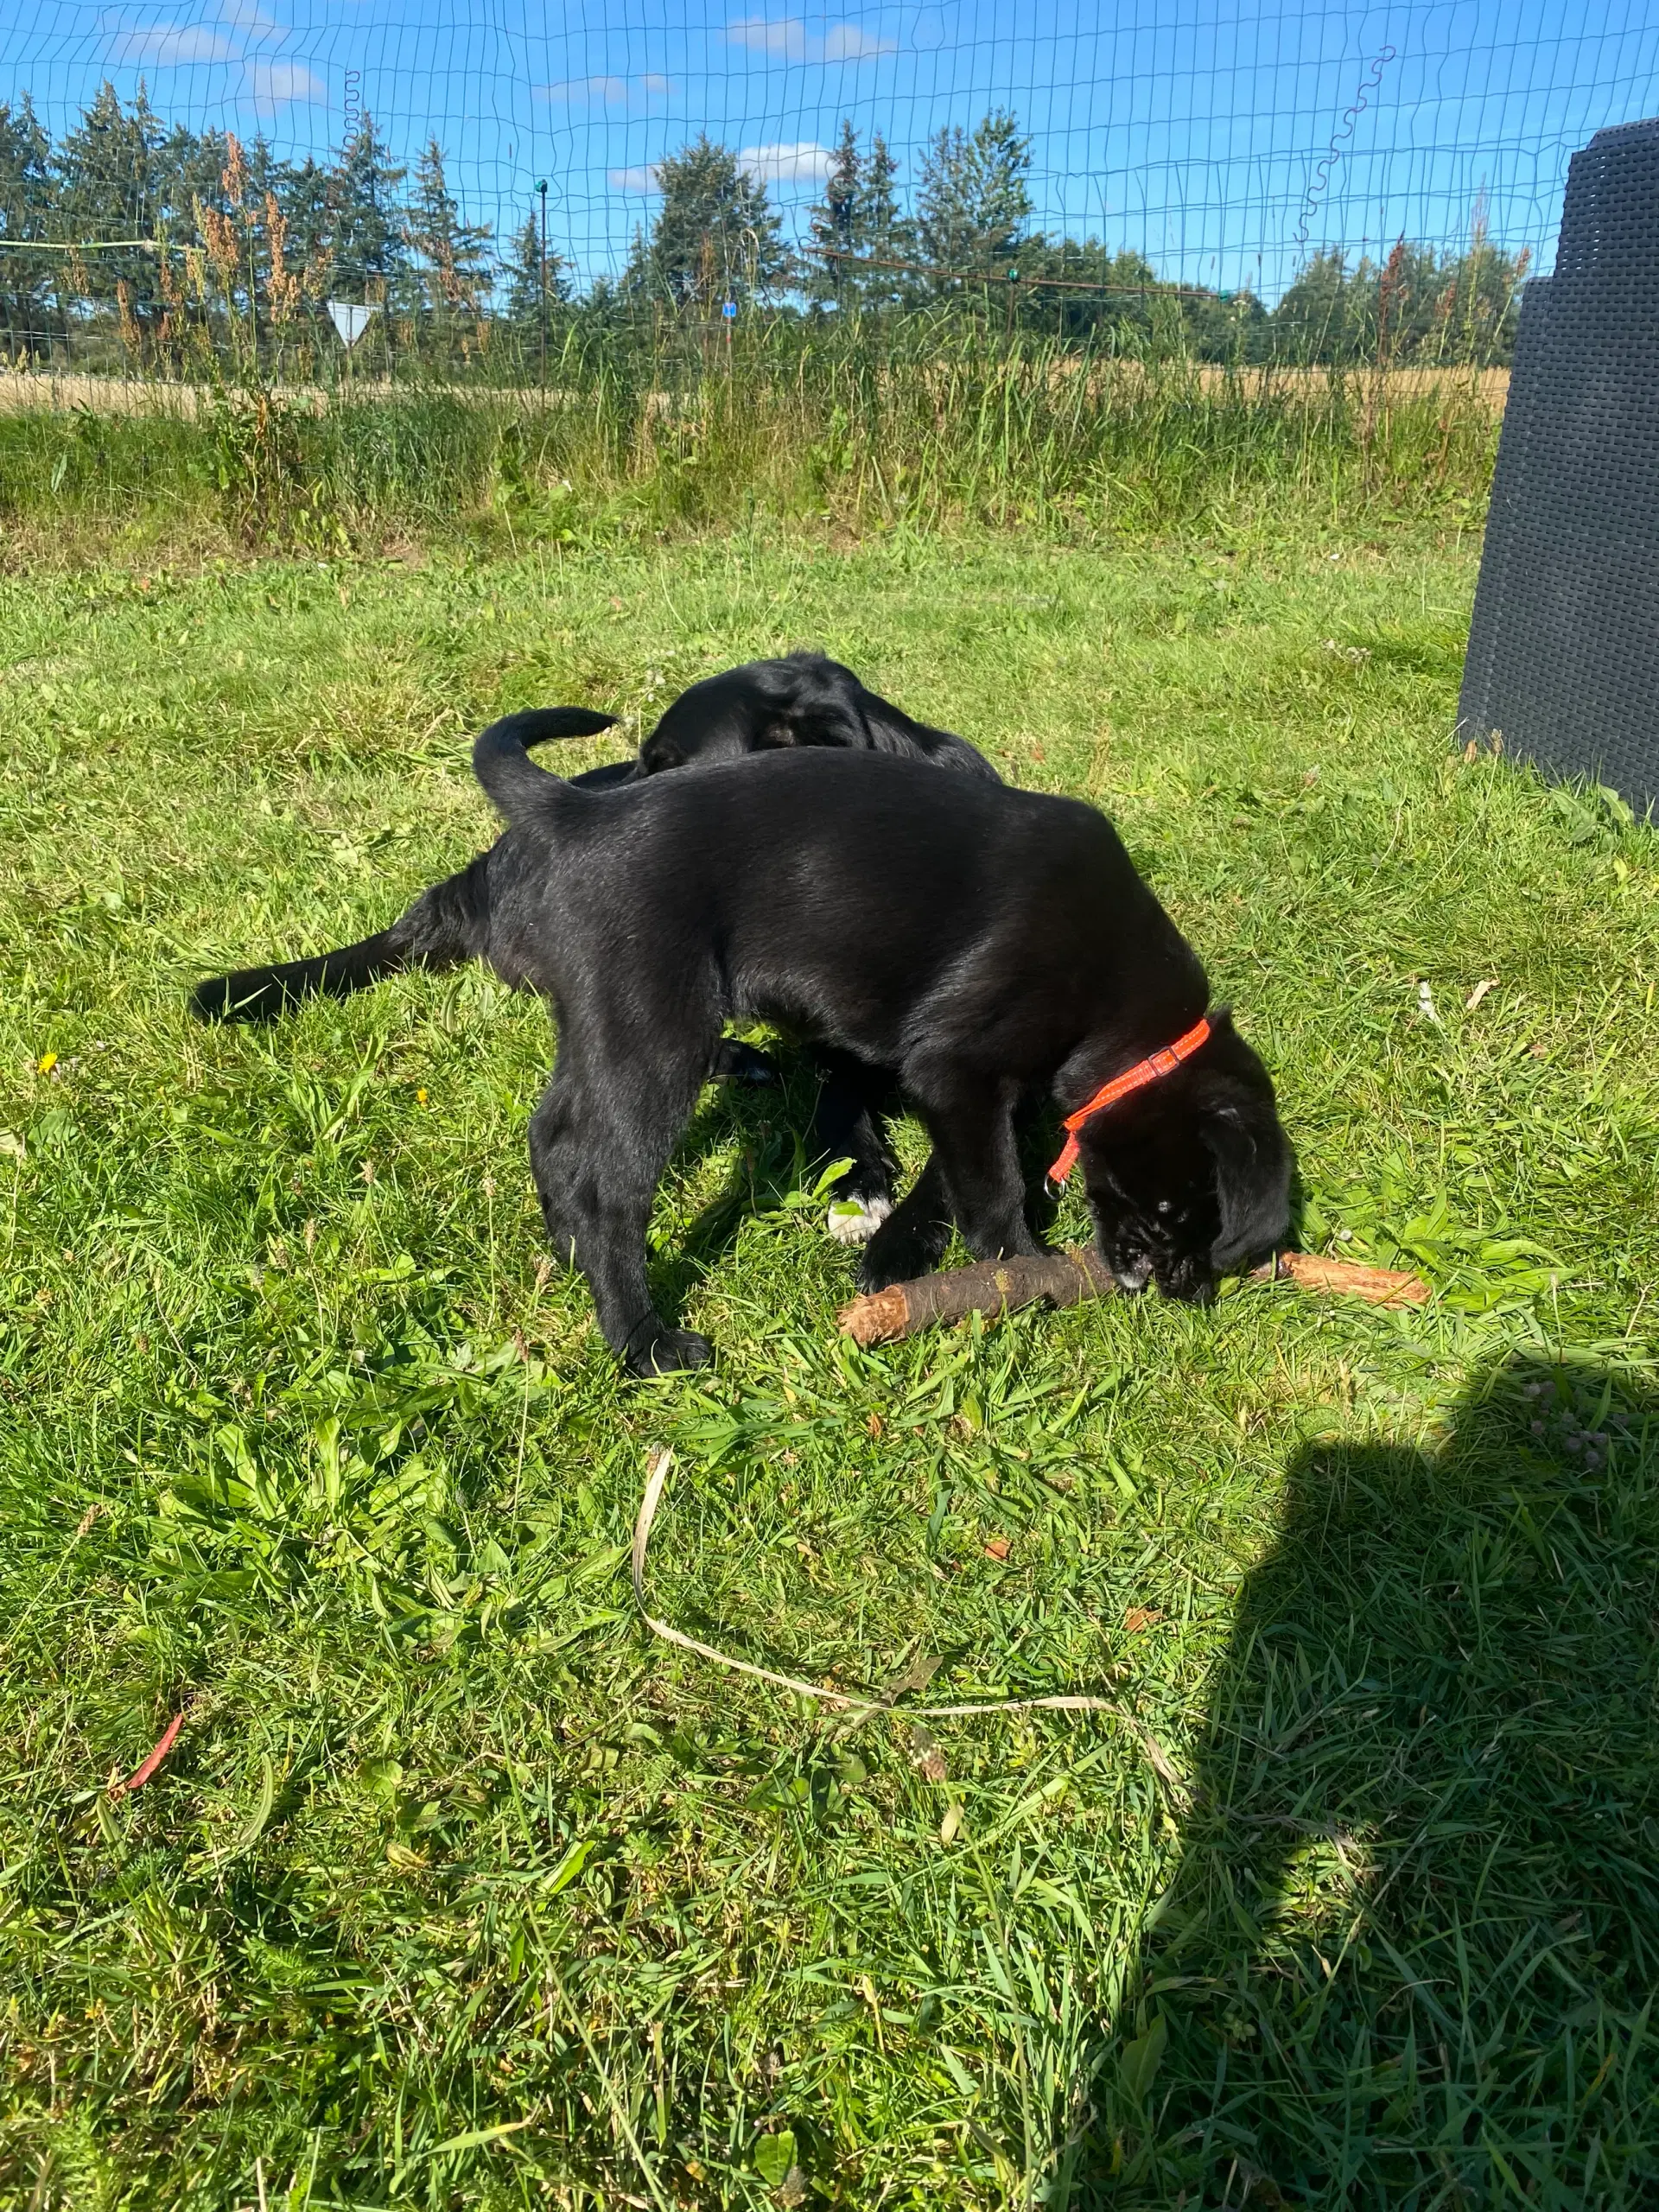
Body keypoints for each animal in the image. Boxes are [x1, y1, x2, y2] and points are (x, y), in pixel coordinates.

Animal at [409, 716, 1292, 1371]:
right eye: (1179, 1205)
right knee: (608, 1188)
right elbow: (994, 1188)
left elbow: (952, 1176)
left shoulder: (972, 1089)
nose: (1181, 1289)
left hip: (602, 1028)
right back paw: (644, 1343)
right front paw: (1020, 1273)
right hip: (656, 1037)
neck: (1125, 1011)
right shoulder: (957, 1069)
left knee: (553, 1132)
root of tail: (580, 814)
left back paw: (567, 1254)